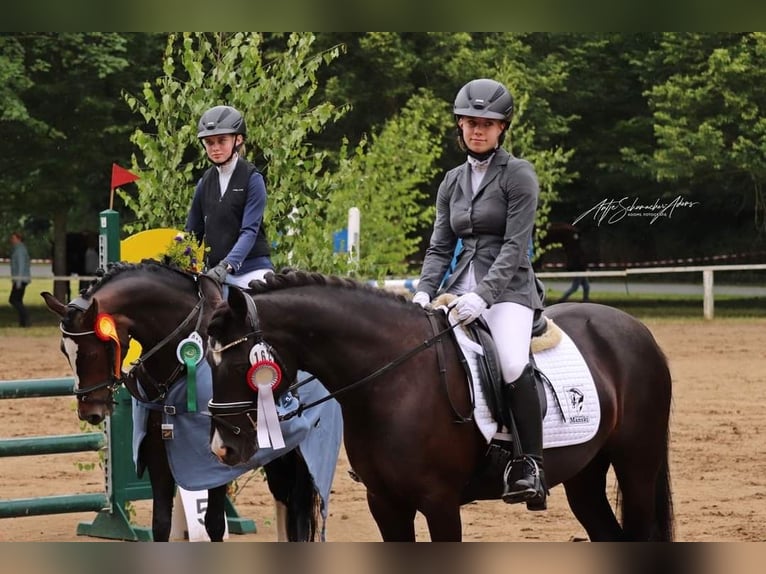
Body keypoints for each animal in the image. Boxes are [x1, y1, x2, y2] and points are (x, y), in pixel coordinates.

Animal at [41, 264, 342, 544]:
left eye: (92, 352)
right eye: (63, 350)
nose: (90, 412)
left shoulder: (217, 458)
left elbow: (214, 524)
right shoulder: (158, 451)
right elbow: (160, 524)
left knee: (298, 509)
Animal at [201, 272, 676, 544]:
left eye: (242, 364)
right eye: (208, 360)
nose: (223, 447)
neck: (393, 379)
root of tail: (635, 328)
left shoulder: (440, 502)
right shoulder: (385, 503)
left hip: (636, 466)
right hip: (584, 475)